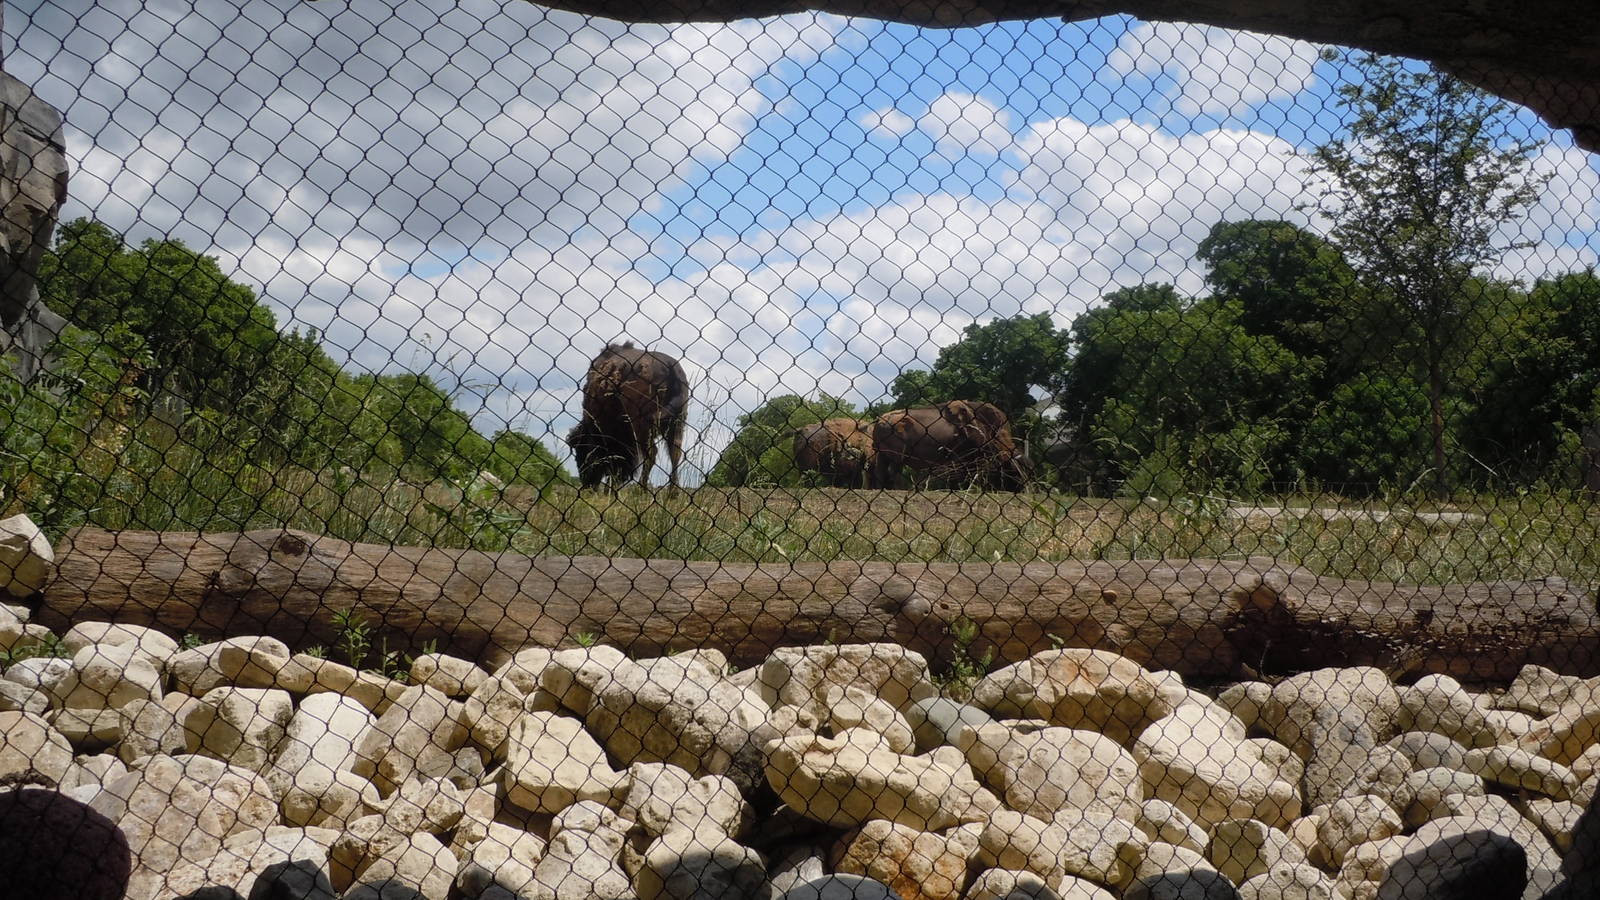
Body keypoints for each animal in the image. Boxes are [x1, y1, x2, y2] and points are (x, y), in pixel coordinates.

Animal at [566, 342, 689, 489]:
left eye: (581, 450)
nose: (587, 482)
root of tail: (672, 369)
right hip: (676, 425)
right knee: (675, 454)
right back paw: (673, 491)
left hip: (642, 428)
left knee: (652, 454)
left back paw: (641, 488)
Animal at [870, 400, 1029, 492]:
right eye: (1014, 467)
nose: (1023, 487)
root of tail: (880, 422)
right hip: (897, 457)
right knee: (893, 474)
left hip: (885, 456)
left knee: (882, 472)